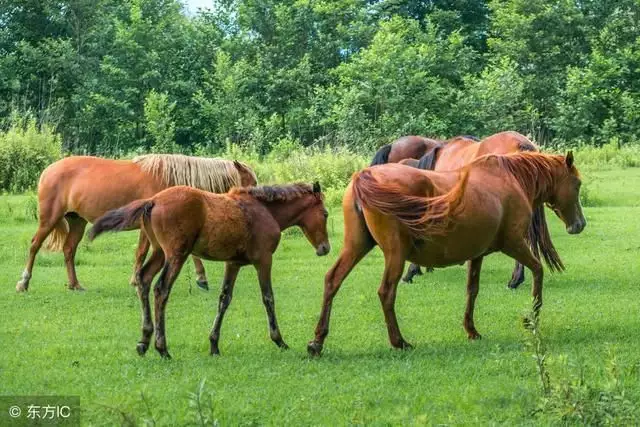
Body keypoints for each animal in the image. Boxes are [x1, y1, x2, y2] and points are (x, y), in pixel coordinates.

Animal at [15, 155, 255, 294]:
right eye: (251, 182)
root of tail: (48, 170)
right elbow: (141, 253)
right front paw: (136, 279)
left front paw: (201, 279)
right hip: (49, 219)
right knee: (34, 245)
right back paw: (23, 283)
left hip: (77, 222)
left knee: (68, 250)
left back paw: (75, 285)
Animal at [89, 182, 330, 360]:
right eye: (326, 214)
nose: (325, 248)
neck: (265, 211)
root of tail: (153, 200)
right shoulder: (263, 260)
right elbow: (268, 297)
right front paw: (279, 340)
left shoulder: (233, 264)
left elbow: (224, 298)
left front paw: (214, 345)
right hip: (176, 255)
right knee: (161, 289)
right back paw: (162, 348)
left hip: (159, 252)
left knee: (144, 280)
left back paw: (143, 341)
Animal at [308, 151, 584, 358]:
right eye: (577, 184)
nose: (579, 224)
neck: (509, 179)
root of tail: (365, 175)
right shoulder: (514, 244)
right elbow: (538, 270)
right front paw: (532, 318)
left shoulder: (477, 254)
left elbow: (472, 290)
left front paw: (471, 330)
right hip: (395, 255)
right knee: (386, 292)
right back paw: (399, 341)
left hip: (356, 247)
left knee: (332, 280)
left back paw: (317, 341)